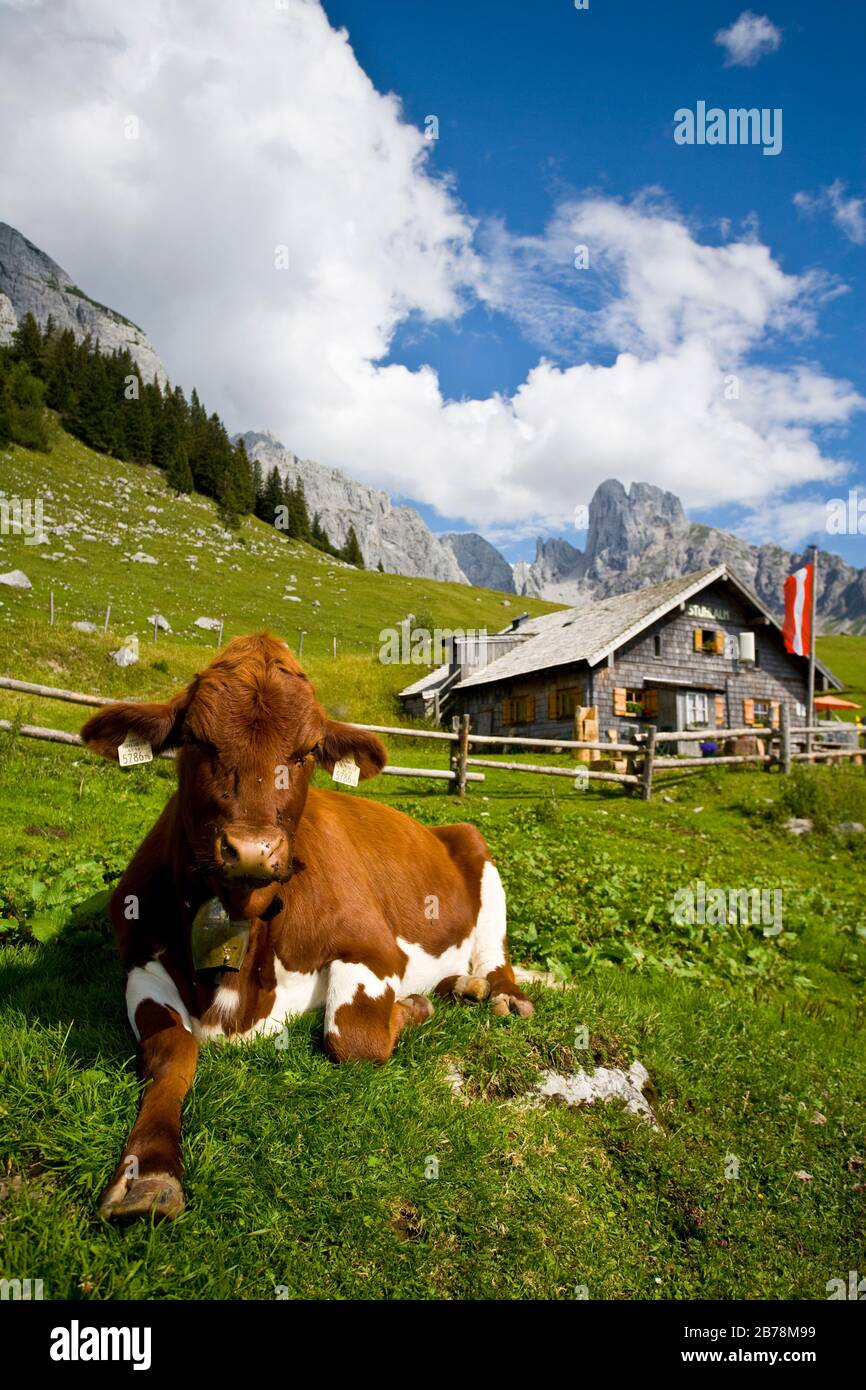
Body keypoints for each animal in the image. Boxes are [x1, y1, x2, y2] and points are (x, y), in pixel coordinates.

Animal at [83, 636, 528, 1223]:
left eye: (307, 751)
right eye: (196, 740)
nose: (253, 848)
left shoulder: (374, 948)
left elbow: (352, 1038)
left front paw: (412, 1007)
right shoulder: (140, 961)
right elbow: (172, 1050)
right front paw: (148, 1171)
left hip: (477, 851)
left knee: (496, 957)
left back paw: (497, 994)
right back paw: (462, 986)